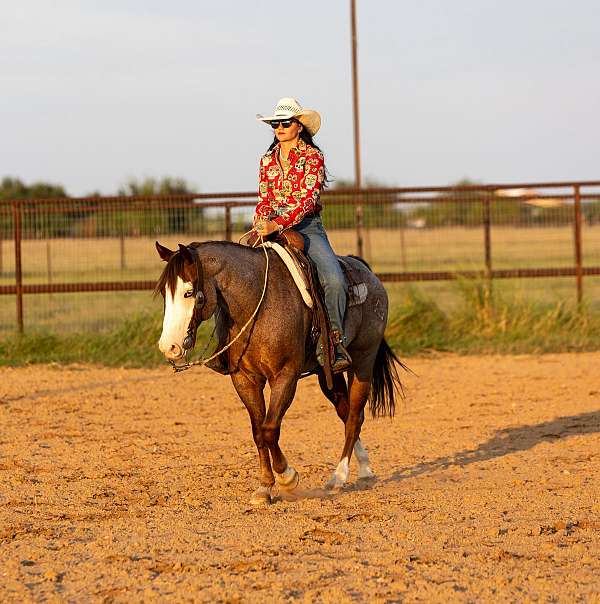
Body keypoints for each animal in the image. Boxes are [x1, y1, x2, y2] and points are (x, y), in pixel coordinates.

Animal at [155, 241, 404, 504]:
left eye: (188, 292)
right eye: (163, 293)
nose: (169, 347)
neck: (258, 304)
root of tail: (368, 273)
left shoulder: (285, 377)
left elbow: (270, 429)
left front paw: (287, 477)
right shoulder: (245, 379)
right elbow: (258, 431)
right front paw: (264, 487)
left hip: (363, 361)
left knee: (355, 417)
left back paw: (339, 477)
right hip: (328, 374)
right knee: (346, 414)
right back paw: (365, 470)